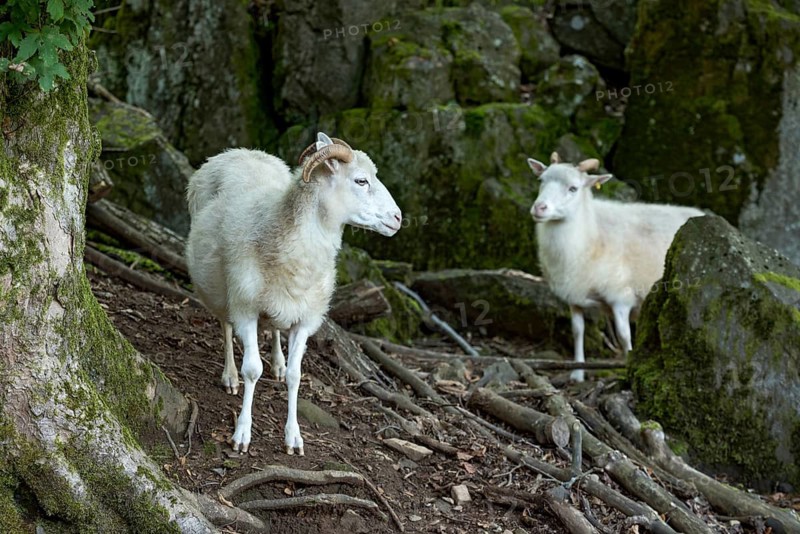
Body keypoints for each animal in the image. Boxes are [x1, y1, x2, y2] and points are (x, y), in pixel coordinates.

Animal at [186, 132, 402, 454]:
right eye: (361, 180)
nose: (398, 218)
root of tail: (239, 151)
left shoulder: (305, 319)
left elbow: (295, 376)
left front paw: (294, 437)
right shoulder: (246, 308)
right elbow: (252, 369)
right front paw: (242, 433)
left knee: (275, 329)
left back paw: (277, 361)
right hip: (221, 288)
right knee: (225, 324)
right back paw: (230, 376)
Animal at [527, 152, 704, 382]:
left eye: (573, 188)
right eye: (541, 180)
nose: (539, 208)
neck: (592, 233)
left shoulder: (620, 297)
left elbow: (623, 335)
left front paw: (629, 370)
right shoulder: (574, 295)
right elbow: (577, 330)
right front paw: (577, 373)